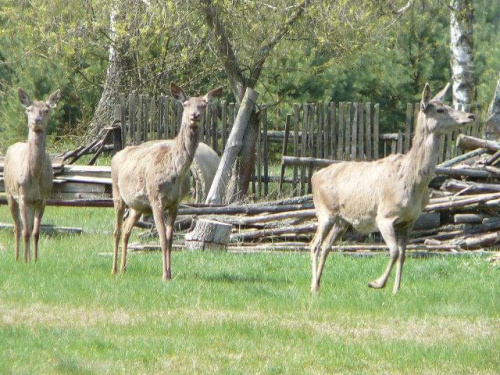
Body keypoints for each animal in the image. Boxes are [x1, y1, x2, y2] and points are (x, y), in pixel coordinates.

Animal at [3, 88, 61, 264]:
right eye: (29, 109)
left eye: (46, 110)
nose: (36, 120)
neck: (35, 176)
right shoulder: (22, 196)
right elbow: (26, 232)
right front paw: (25, 261)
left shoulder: (42, 198)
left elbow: (35, 232)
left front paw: (34, 260)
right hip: (9, 192)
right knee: (17, 227)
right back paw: (17, 257)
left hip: (30, 202)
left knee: (26, 226)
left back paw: (27, 256)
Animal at [113, 83, 225, 282]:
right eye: (186, 104)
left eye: (203, 105)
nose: (194, 115)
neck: (176, 172)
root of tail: (115, 155)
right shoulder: (156, 199)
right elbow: (163, 238)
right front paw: (164, 275)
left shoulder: (175, 203)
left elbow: (171, 239)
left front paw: (170, 273)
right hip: (117, 194)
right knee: (116, 231)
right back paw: (114, 270)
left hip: (137, 206)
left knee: (126, 230)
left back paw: (124, 268)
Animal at [310, 83, 474, 296]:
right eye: (440, 109)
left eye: (447, 104)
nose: (471, 115)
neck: (414, 183)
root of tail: (314, 177)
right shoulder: (384, 216)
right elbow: (394, 251)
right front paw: (376, 283)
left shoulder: (409, 220)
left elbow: (403, 254)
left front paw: (396, 290)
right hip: (324, 212)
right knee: (314, 245)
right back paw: (314, 287)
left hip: (342, 221)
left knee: (326, 246)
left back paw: (318, 284)